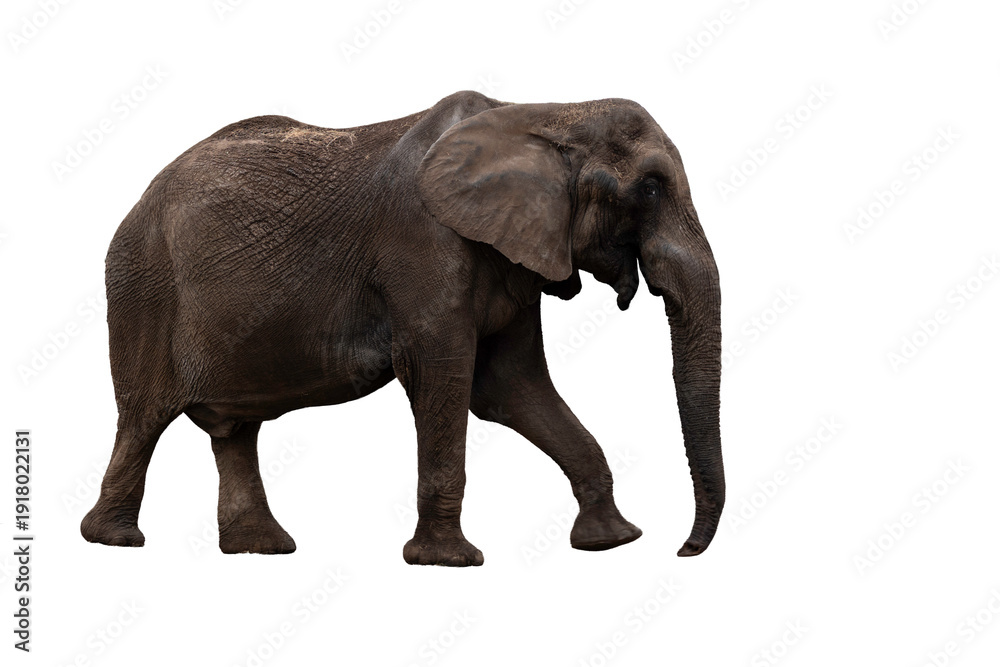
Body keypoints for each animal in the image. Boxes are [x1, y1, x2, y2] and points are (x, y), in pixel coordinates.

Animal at [81, 90, 724, 566]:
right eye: (650, 187)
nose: (682, 551)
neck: (543, 112)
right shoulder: (422, 243)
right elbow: (445, 377)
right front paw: (448, 561)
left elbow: (511, 387)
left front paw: (611, 541)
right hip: (143, 289)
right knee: (142, 417)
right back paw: (115, 541)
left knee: (234, 431)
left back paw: (261, 549)